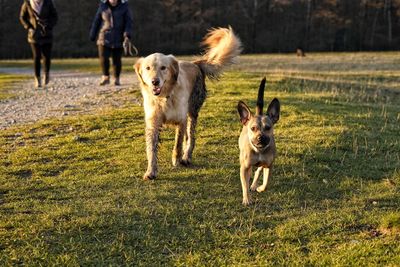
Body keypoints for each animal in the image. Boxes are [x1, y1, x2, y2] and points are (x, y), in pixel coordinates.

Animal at [135, 27, 241, 181]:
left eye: (163, 68)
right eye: (148, 68)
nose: (155, 82)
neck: (165, 97)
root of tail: (195, 63)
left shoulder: (181, 120)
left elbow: (178, 144)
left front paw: (176, 159)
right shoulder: (153, 123)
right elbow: (151, 149)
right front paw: (151, 171)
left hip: (192, 110)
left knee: (191, 137)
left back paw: (186, 157)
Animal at [238, 78, 282, 206]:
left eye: (268, 128)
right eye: (253, 128)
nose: (260, 137)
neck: (259, 150)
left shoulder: (269, 165)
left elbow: (266, 183)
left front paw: (259, 188)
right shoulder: (244, 167)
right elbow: (244, 184)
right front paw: (247, 199)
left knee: (258, 171)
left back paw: (254, 185)